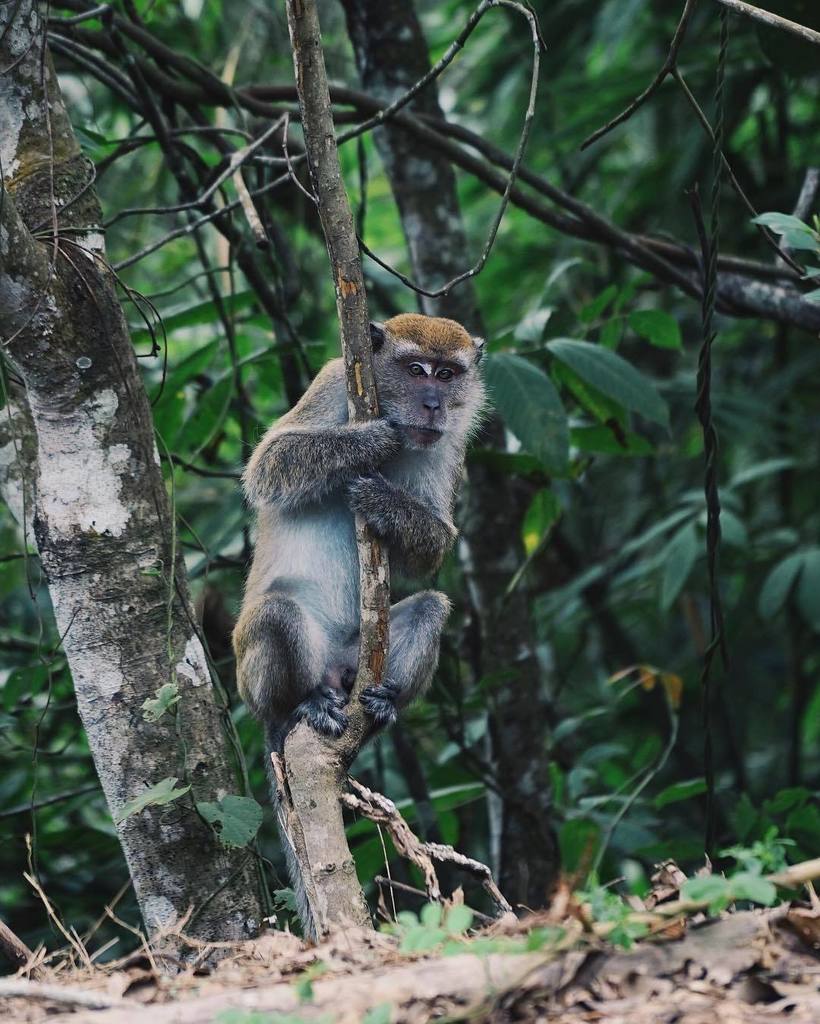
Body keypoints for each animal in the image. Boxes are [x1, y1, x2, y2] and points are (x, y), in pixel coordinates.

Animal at [232, 313, 485, 749]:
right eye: (415, 370)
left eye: (447, 374)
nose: (433, 405)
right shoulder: (333, 382)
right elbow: (268, 464)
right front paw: (371, 440)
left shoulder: (450, 442)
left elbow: (433, 547)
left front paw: (383, 501)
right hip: (254, 680)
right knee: (276, 611)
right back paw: (301, 705)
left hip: (358, 660)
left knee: (431, 607)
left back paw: (384, 704)